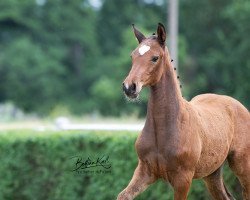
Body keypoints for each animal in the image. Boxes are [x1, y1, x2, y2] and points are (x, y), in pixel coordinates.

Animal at [117, 22, 250, 199]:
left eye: (155, 57)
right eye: (132, 56)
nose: (129, 87)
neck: (166, 126)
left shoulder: (183, 179)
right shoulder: (144, 171)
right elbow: (123, 195)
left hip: (242, 165)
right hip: (212, 173)